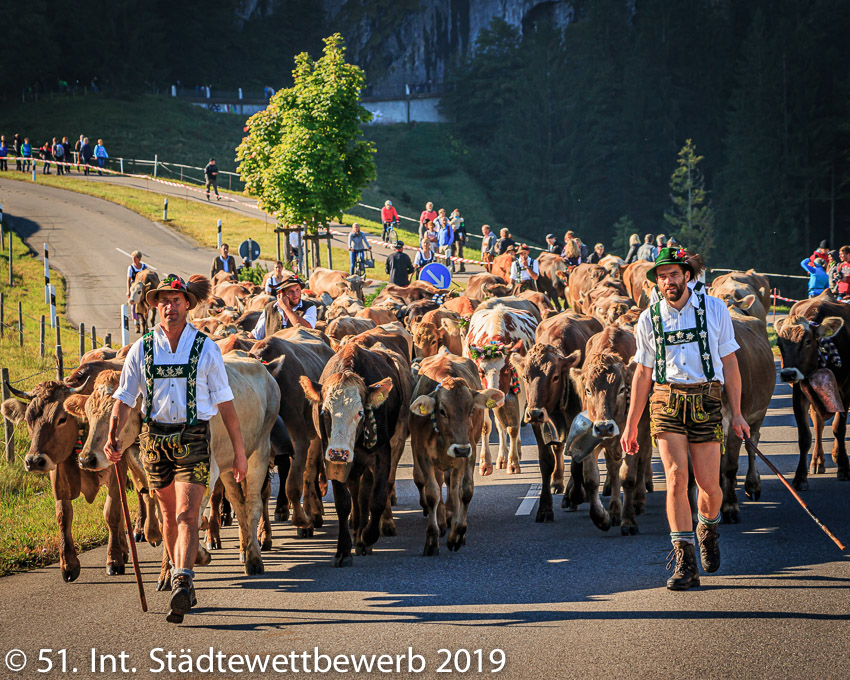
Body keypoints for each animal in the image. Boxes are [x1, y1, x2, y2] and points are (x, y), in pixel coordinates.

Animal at [408, 354, 500, 556]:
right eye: (442, 411)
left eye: (472, 410)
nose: (461, 449)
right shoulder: (423, 455)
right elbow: (432, 493)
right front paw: (432, 538)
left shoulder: (469, 451)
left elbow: (464, 491)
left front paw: (458, 534)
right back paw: (442, 521)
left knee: (452, 486)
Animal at [464, 306, 536, 476]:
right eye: (481, 371)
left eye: (506, 370)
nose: (495, 397)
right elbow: (486, 426)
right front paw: (485, 463)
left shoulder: (519, 393)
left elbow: (513, 427)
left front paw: (513, 462)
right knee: (499, 424)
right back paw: (502, 457)